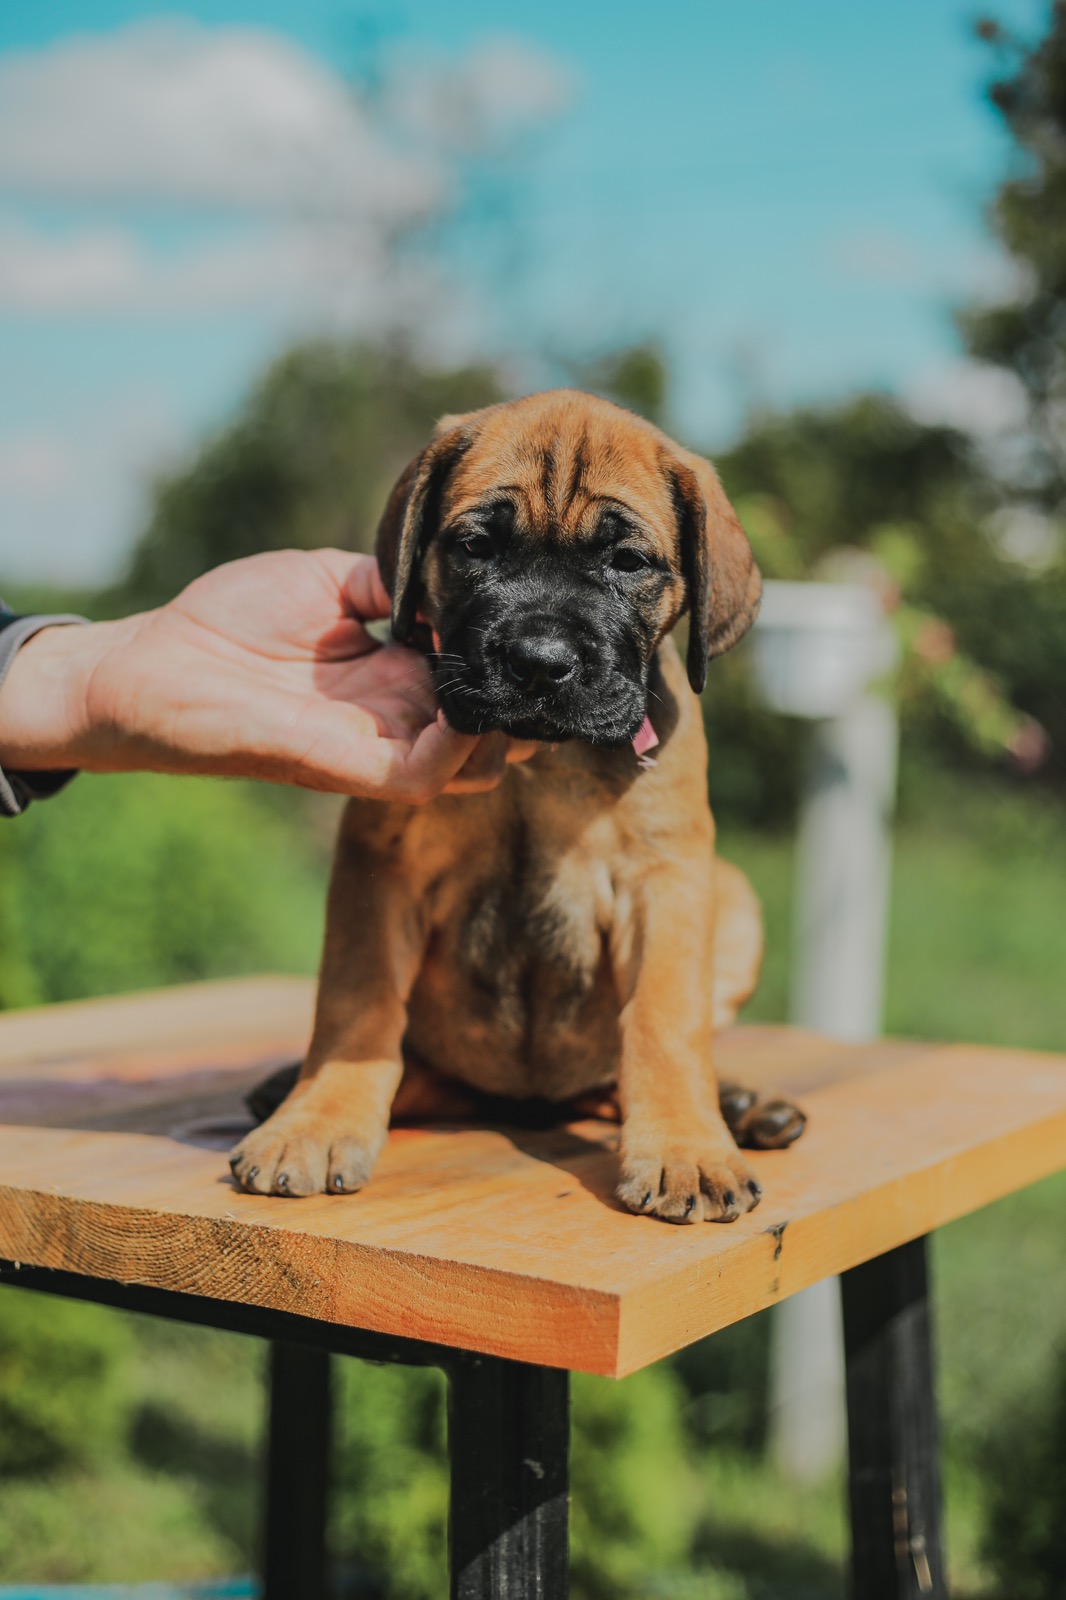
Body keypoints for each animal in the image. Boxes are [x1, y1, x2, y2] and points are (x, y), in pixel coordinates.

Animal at [228, 393, 800, 1216]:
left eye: (627, 562)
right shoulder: (380, 869)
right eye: (477, 547)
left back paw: (742, 1104)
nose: (539, 663)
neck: (539, 760)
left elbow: (663, 1020)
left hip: (737, 899)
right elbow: (357, 1008)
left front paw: (686, 1149)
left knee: (617, 1078)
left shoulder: (667, 879)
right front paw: (317, 1121)